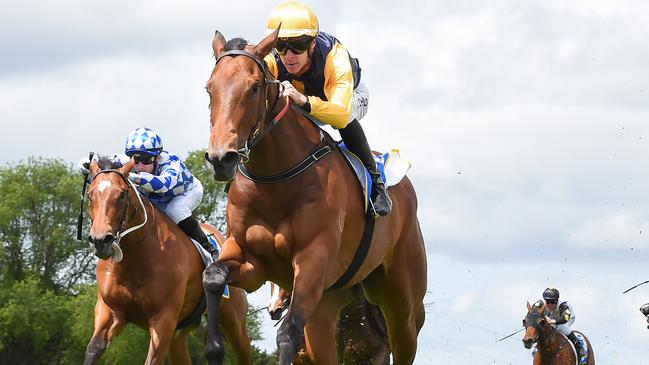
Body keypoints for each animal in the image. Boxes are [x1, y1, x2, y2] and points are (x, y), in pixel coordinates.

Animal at [83, 158, 251, 364]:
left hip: (234, 321)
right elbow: (93, 349)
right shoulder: (110, 311)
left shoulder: (163, 319)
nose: (101, 241)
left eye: (122, 194)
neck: (135, 258)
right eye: (90, 195)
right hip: (179, 334)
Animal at [200, 27, 428, 362]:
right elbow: (212, 276)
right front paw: (215, 348)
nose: (221, 158)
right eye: (210, 88)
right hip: (327, 305)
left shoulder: (313, 259)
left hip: (402, 305)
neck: (275, 179)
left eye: (254, 87)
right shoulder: (251, 263)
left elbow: (287, 333)